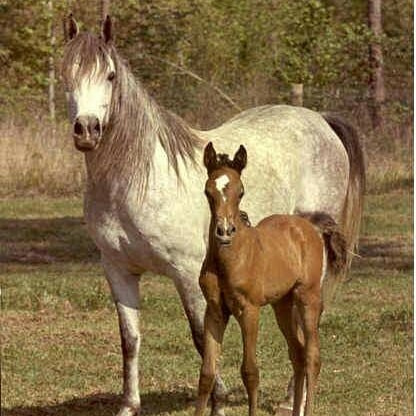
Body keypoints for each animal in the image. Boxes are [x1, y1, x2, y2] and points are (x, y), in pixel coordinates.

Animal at [196, 142, 348, 416]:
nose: (224, 231)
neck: (231, 259)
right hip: (282, 305)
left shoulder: (249, 310)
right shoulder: (214, 311)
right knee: (298, 353)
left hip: (307, 297)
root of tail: (309, 226)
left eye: (241, 192)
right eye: (207, 192)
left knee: (312, 356)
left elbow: (250, 371)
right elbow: (206, 375)